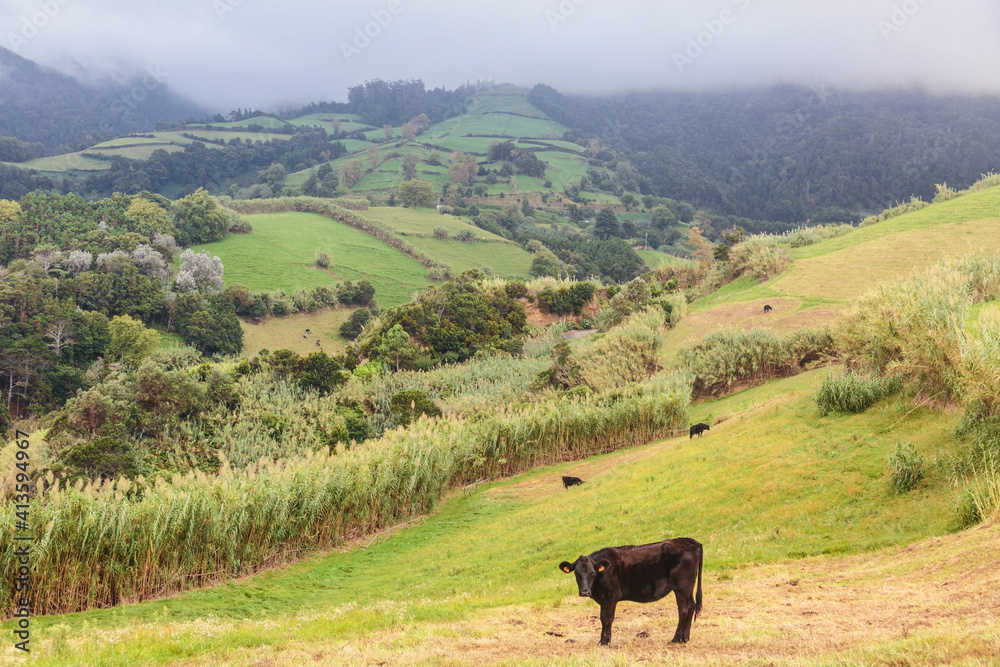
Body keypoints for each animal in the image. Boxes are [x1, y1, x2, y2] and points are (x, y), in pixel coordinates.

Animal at [560, 536, 708, 648]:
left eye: (592, 573)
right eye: (577, 573)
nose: (585, 592)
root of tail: (688, 540)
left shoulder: (611, 596)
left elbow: (607, 618)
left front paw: (605, 642)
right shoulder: (603, 599)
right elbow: (602, 618)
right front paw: (601, 641)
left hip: (682, 586)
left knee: (684, 609)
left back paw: (676, 638)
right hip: (688, 587)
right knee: (691, 606)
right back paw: (685, 638)